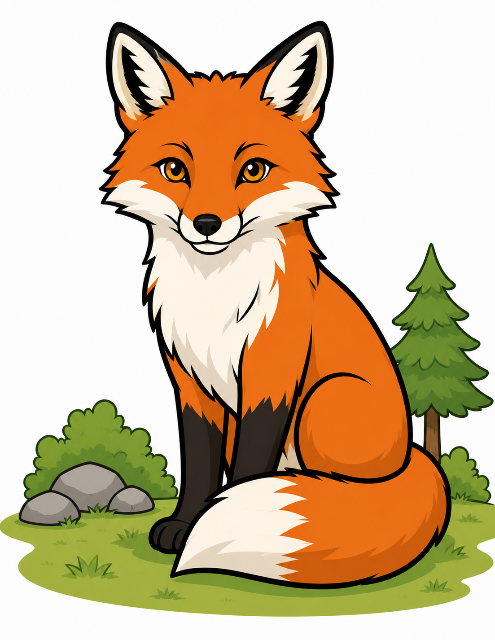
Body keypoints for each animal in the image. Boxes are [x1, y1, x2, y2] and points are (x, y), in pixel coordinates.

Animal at [102, 21, 450, 587]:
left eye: (253, 170)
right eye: (174, 169)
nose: (207, 224)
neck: (215, 296)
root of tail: (413, 457)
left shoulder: (272, 373)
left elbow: (247, 468)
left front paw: (221, 519)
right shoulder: (189, 384)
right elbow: (199, 463)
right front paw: (185, 523)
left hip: (327, 401)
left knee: (340, 488)